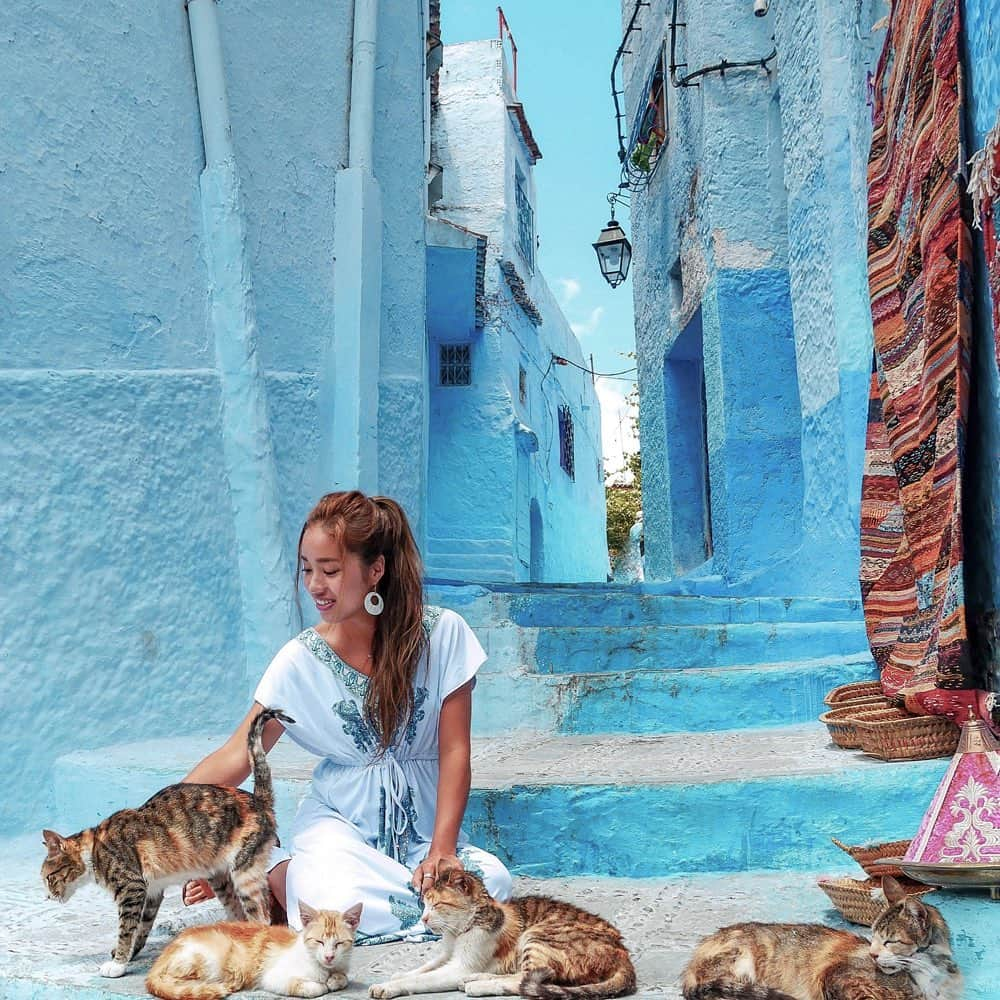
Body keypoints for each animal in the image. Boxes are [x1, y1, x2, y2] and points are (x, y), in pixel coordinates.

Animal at [41, 704, 292, 976]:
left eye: (48, 878)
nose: (48, 897)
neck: (95, 848)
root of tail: (259, 800)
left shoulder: (131, 887)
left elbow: (126, 929)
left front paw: (118, 964)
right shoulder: (151, 891)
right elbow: (141, 928)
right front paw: (129, 955)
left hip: (245, 873)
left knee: (262, 918)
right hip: (221, 879)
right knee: (239, 914)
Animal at [141, 900, 360, 1000]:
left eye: (339, 943)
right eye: (319, 941)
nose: (329, 956)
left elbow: (343, 977)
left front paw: (335, 979)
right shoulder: (273, 977)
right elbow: (313, 988)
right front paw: (321, 985)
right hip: (215, 953)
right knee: (174, 981)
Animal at [368, 868, 632, 1000]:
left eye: (437, 904)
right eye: (424, 905)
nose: (423, 919)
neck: (457, 932)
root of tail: (623, 954)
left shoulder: (459, 966)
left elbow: (420, 980)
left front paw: (388, 986)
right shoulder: (446, 957)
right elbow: (424, 968)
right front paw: (400, 974)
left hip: (538, 935)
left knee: (528, 980)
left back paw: (478, 986)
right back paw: (476, 979)